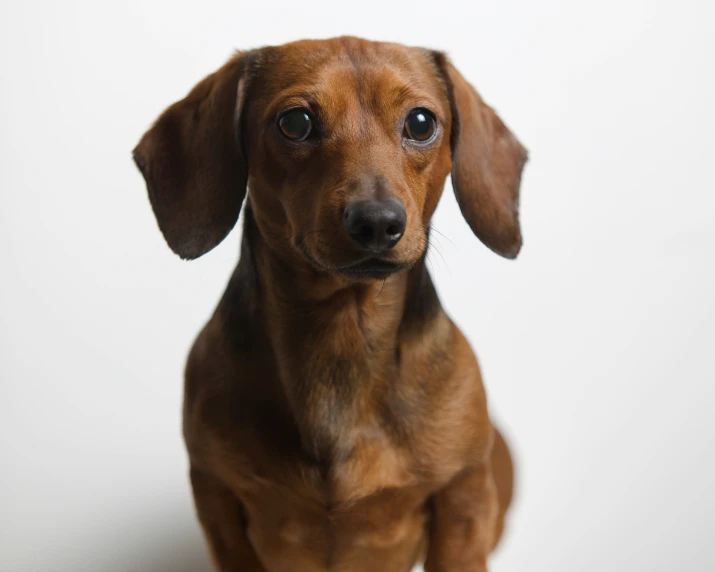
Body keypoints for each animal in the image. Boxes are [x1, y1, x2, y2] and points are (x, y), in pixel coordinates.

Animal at [133, 35, 524, 572]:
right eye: (295, 122)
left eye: (422, 122)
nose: (377, 222)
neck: (343, 331)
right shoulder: (218, 504)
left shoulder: (461, 502)